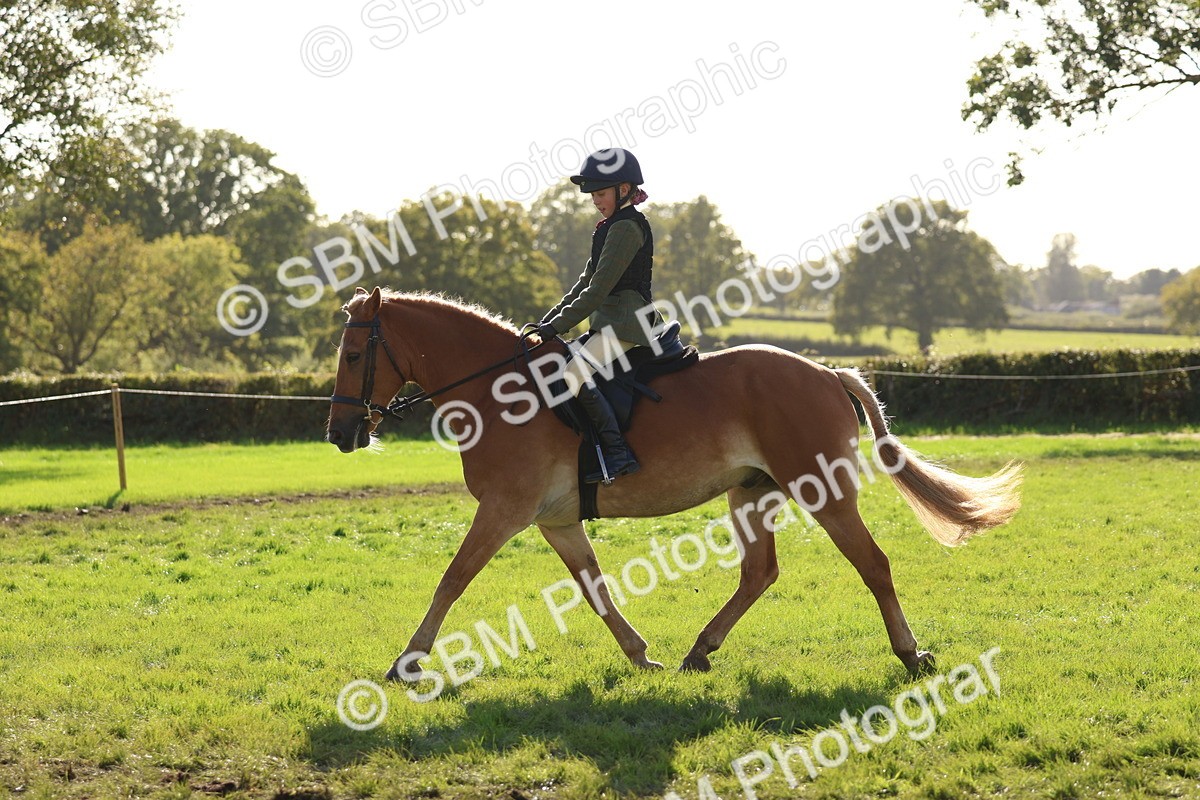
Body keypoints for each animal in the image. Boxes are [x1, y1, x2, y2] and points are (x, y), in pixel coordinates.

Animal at [326, 287, 1022, 679]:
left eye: (356, 355)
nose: (340, 434)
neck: (499, 392)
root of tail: (826, 372)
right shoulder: (556, 519)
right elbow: (594, 588)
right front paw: (641, 656)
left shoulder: (504, 511)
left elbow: (452, 580)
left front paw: (406, 662)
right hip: (752, 492)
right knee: (760, 572)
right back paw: (699, 651)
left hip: (820, 489)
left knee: (872, 563)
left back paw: (910, 654)